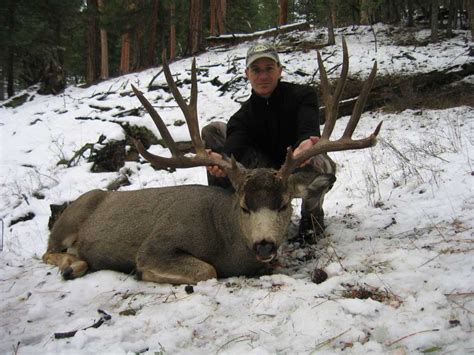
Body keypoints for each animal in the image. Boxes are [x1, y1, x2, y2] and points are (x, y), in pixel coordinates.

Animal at [41, 38, 382, 284]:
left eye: (284, 204)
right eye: (244, 206)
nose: (264, 245)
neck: (224, 240)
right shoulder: (156, 244)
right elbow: (207, 270)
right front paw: (143, 273)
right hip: (69, 221)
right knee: (47, 252)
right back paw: (71, 265)